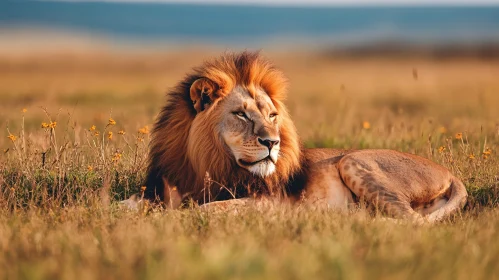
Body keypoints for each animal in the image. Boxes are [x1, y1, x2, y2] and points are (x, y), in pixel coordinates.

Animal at [135, 51, 466, 223]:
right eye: (241, 114)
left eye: (271, 116)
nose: (272, 143)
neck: (205, 160)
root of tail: (449, 172)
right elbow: (134, 203)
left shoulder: (269, 203)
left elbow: (202, 209)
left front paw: (170, 219)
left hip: (353, 160)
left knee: (412, 222)